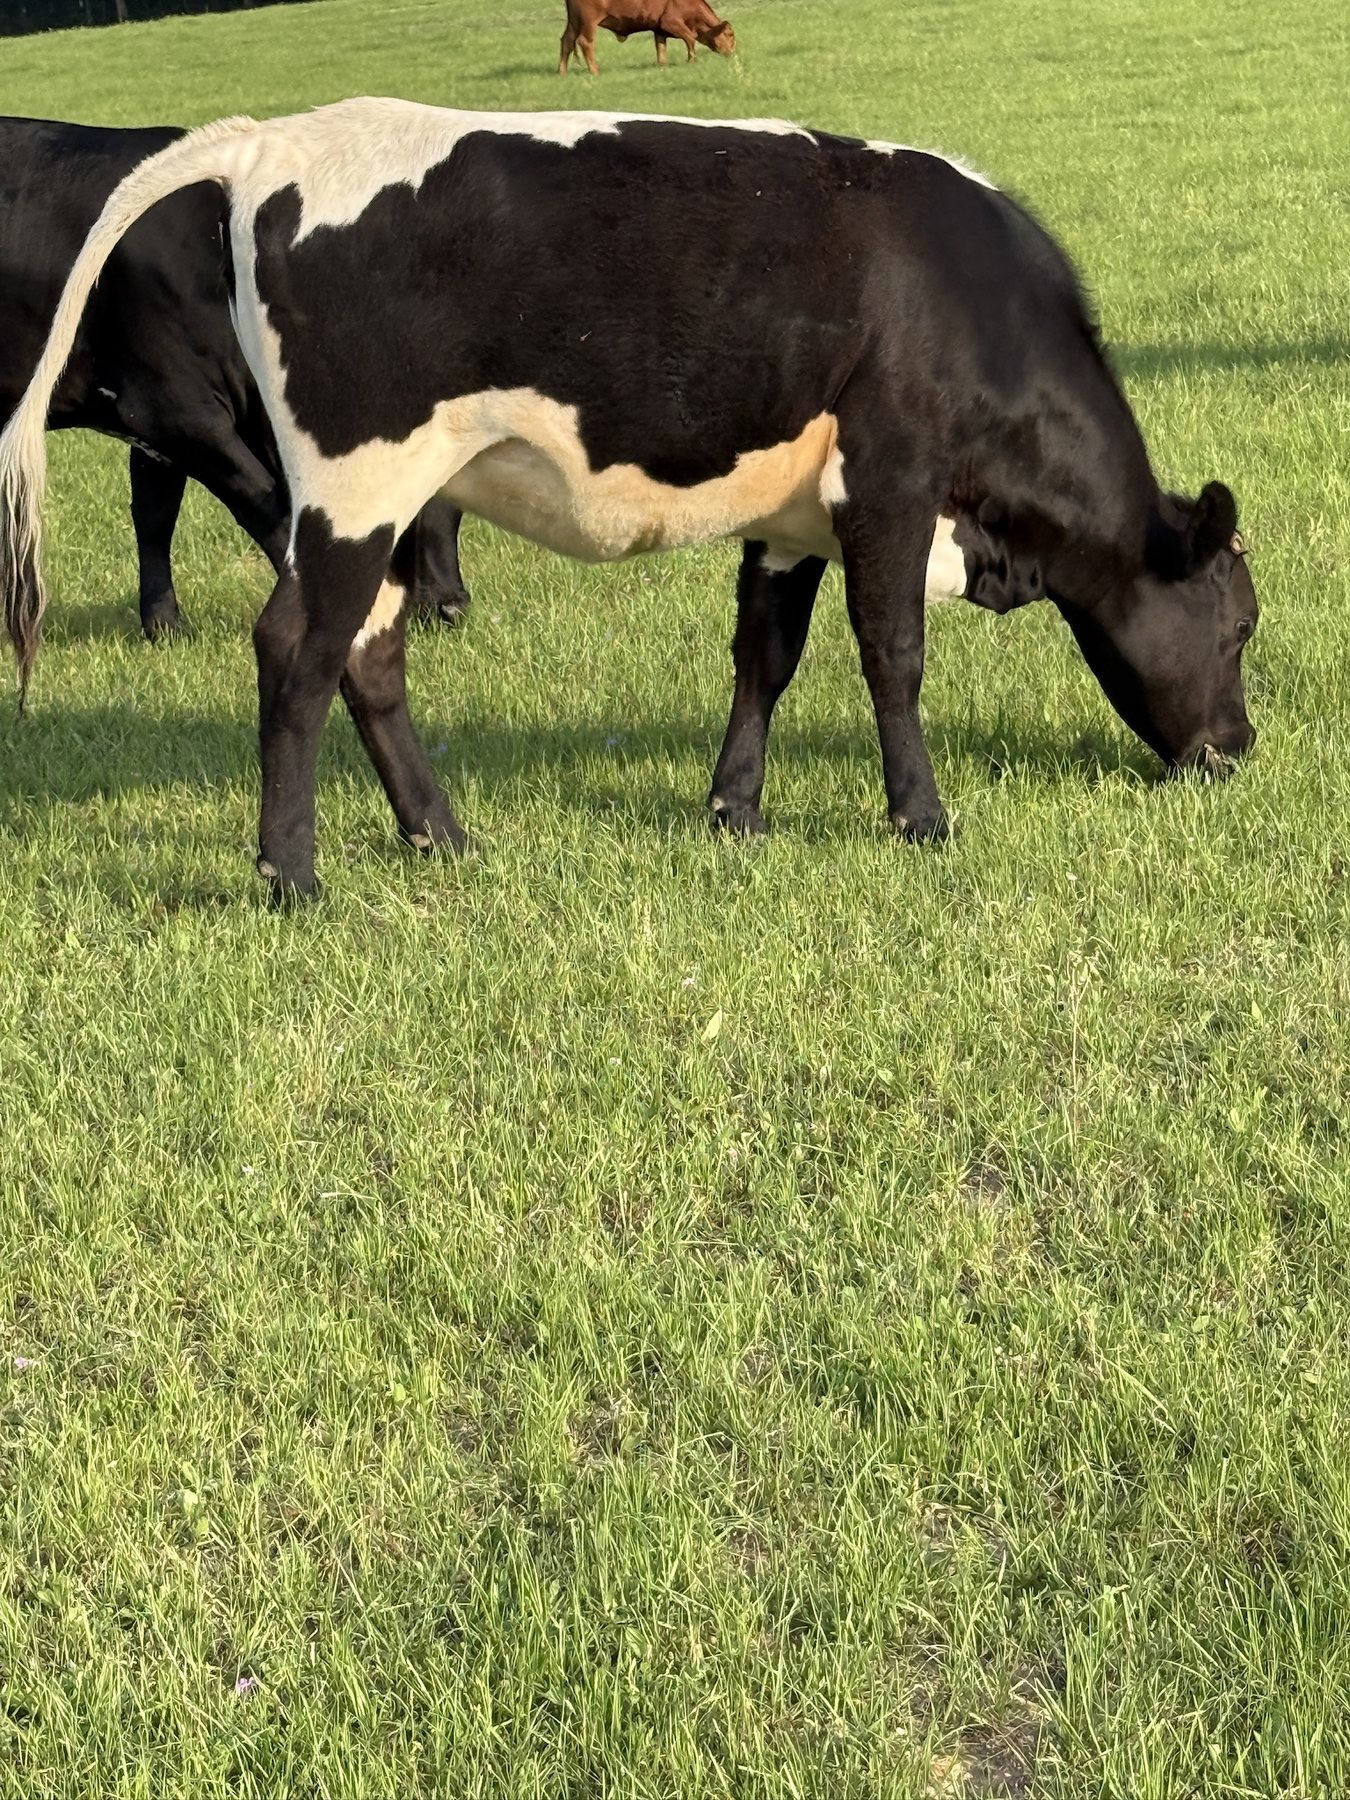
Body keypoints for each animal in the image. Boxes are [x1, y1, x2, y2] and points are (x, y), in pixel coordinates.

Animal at [0, 114, 471, 640]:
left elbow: (154, 516)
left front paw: (164, 626)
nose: (454, 608)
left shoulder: (156, 429)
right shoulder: (170, 411)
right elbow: (268, 508)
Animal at [559, 0, 735, 74]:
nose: (733, 53)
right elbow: (690, 38)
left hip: (574, 22)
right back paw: (595, 71)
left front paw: (663, 66)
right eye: (730, 35)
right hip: (588, 22)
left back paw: (562, 72)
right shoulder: (670, 22)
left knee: (566, 41)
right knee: (585, 42)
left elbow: (661, 50)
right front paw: (692, 61)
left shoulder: (659, 30)